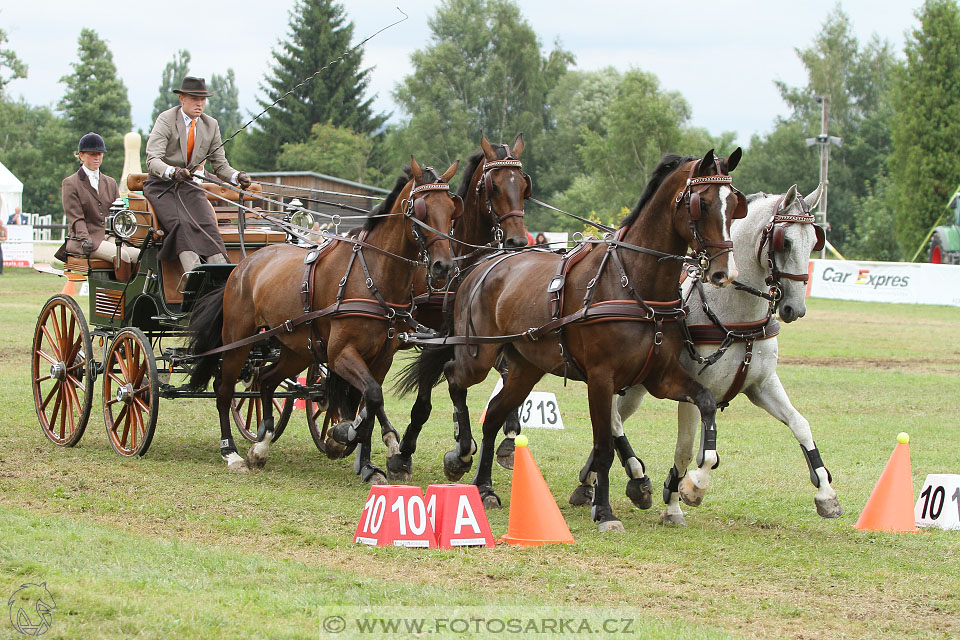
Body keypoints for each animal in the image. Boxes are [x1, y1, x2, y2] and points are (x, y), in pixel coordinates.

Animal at [188, 159, 462, 480]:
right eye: (420, 209)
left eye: (451, 208)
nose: (443, 267)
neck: (371, 275)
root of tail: (243, 264)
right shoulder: (340, 353)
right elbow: (371, 396)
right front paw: (350, 437)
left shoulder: (382, 357)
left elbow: (370, 401)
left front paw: (375, 454)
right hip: (238, 341)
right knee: (225, 390)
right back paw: (230, 452)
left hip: (297, 350)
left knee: (266, 381)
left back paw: (261, 445)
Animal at [384, 134, 532, 480]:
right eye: (494, 187)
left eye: (523, 186)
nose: (518, 242)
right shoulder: (435, 335)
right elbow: (425, 400)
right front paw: (405, 453)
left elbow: (505, 371)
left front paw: (507, 437)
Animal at [402, 149, 748, 528]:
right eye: (702, 203)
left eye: (735, 205)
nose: (725, 271)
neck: (633, 284)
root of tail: (479, 266)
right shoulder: (601, 379)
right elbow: (604, 447)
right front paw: (606, 511)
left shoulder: (661, 377)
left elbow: (706, 401)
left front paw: (696, 481)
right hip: (478, 355)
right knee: (453, 376)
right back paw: (460, 453)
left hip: (525, 368)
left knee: (493, 415)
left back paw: (485, 487)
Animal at [568, 182, 844, 524]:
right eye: (786, 241)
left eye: (814, 241)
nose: (796, 307)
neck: (735, 318)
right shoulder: (691, 390)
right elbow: (688, 449)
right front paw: (684, 494)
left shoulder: (762, 385)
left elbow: (801, 424)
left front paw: (826, 493)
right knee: (614, 419)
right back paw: (633, 477)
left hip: (635, 386)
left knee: (613, 418)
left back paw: (592, 482)